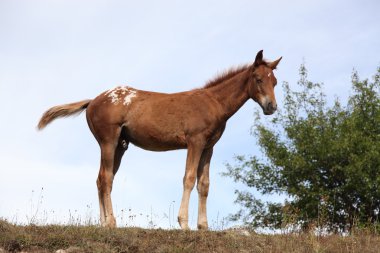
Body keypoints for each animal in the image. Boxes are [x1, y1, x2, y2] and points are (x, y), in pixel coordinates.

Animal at [38, 50, 280, 230]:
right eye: (258, 79)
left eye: (275, 81)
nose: (271, 107)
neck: (214, 103)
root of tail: (92, 102)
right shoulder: (195, 142)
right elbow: (188, 178)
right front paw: (184, 224)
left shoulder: (209, 147)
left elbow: (204, 184)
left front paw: (204, 227)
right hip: (108, 141)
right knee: (105, 178)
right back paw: (112, 223)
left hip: (120, 146)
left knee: (100, 179)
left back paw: (103, 223)